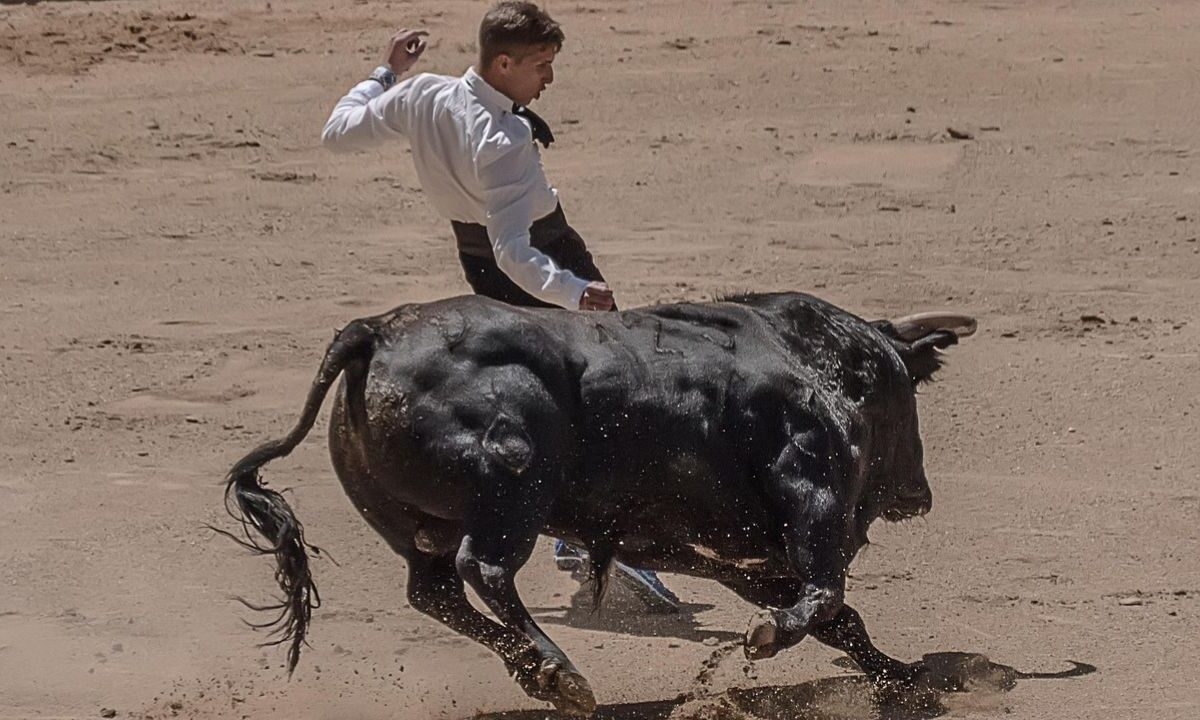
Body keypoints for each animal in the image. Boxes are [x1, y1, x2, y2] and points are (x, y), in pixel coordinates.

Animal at [223, 292, 974, 715]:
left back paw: (537, 673)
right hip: (512, 496)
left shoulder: (732, 554)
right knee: (483, 569)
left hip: (417, 529)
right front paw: (767, 638)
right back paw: (558, 671)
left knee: (433, 591)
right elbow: (825, 596)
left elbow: (842, 619)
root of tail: (376, 330)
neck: (818, 360)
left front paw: (907, 680)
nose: (920, 495)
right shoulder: (811, 500)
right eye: (908, 395)